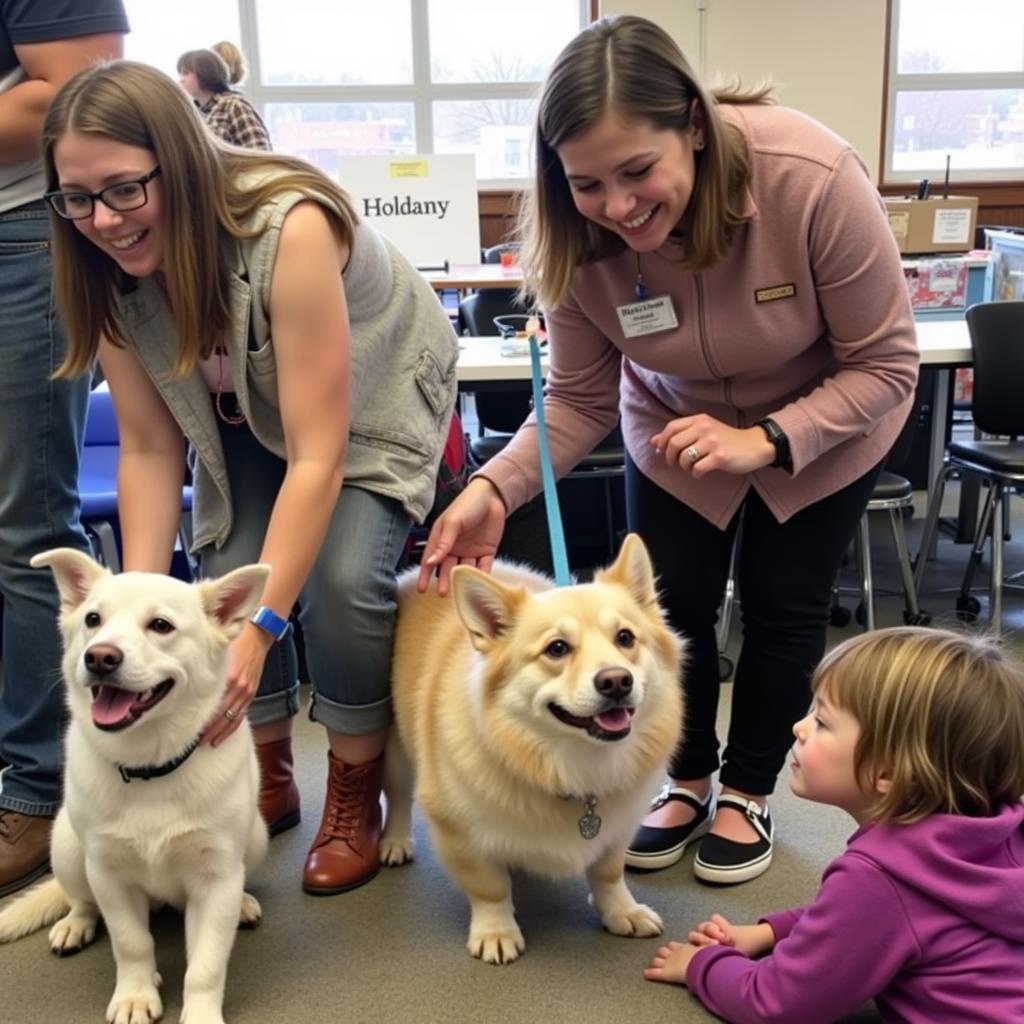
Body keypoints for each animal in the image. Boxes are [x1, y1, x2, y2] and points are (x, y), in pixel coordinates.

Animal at [380, 540, 684, 962]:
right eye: (557, 648)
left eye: (625, 638)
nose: (616, 681)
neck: (571, 763)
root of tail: (414, 572)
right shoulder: (459, 832)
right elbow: (490, 888)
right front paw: (496, 931)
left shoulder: (618, 828)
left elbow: (608, 874)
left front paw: (622, 911)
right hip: (394, 754)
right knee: (396, 798)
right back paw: (394, 841)